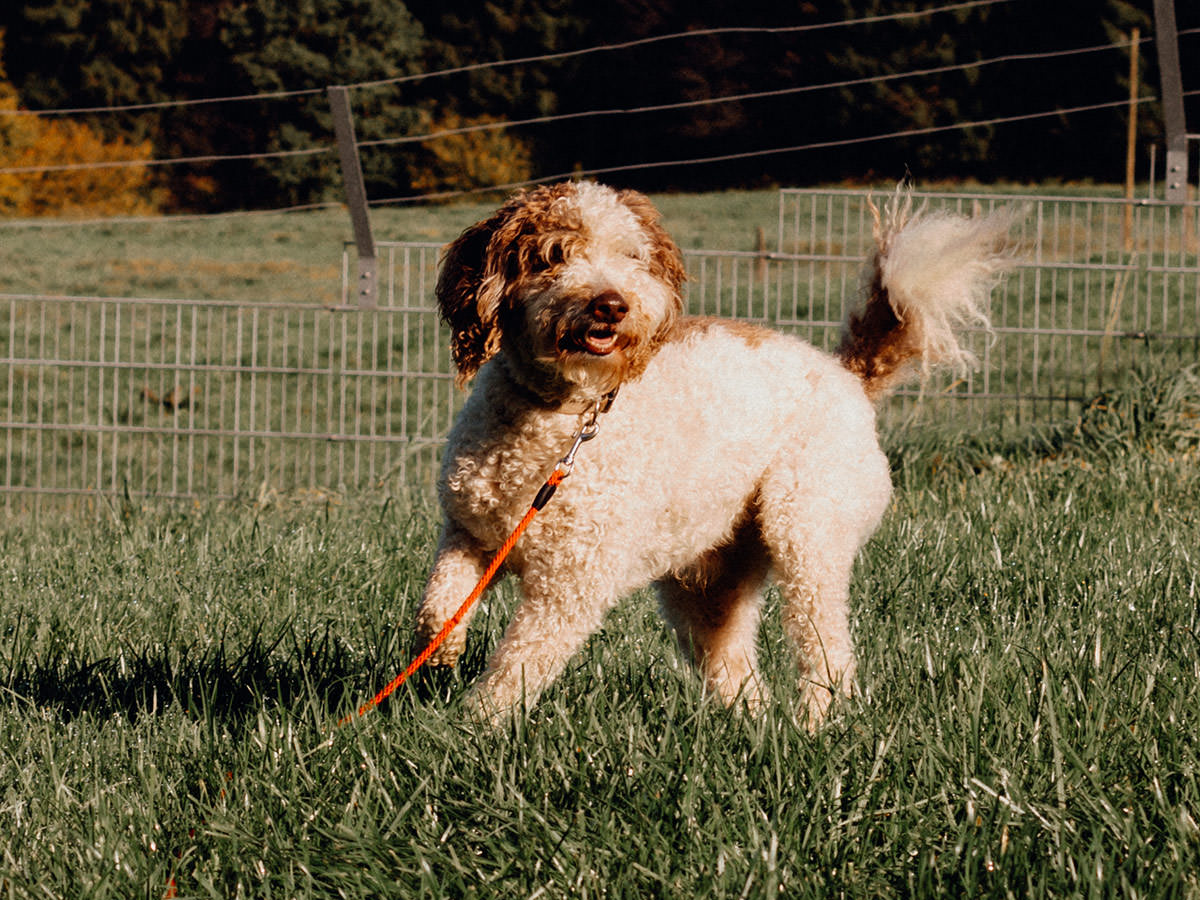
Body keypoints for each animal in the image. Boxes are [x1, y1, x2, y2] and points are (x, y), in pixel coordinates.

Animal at [410, 181, 1012, 724]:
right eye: (553, 255)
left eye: (631, 257)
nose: (611, 305)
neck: (563, 417)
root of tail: (847, 373)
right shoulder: (468, 534)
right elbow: (437, 606)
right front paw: (441, 654)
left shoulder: (571, 584)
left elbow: (517, 665)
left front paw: (473, 728)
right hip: (709, 578)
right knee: (736, 664)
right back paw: (752, 726)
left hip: (807, 533)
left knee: (827, 651)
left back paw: (817, 724)